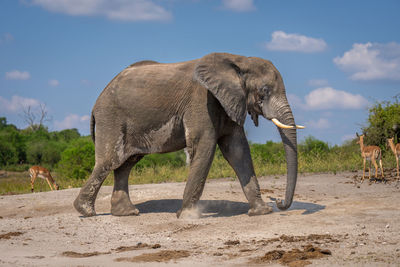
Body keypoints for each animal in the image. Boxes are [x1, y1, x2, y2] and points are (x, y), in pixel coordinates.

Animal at [73, 52, 304, 220]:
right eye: (264, 90)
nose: (279, 203)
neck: (238, 60)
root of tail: (97, 100)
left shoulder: (227, 102)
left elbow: (238, 151)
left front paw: (261, 212)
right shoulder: (202, 101)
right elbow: (205, 146)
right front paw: (187, 216)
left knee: (126, 164)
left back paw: (126, 213)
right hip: (111, 118)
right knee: (109, 162)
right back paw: (86, 211)